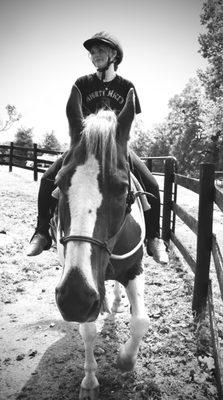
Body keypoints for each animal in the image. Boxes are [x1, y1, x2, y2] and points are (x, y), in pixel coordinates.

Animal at [53, 86, 149, 398]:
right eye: (59, 183)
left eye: (121, 188)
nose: (75, 297)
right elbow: (88, 331)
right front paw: (90, 380)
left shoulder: (134, 268)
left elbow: (141, 321)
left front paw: (125, 360)